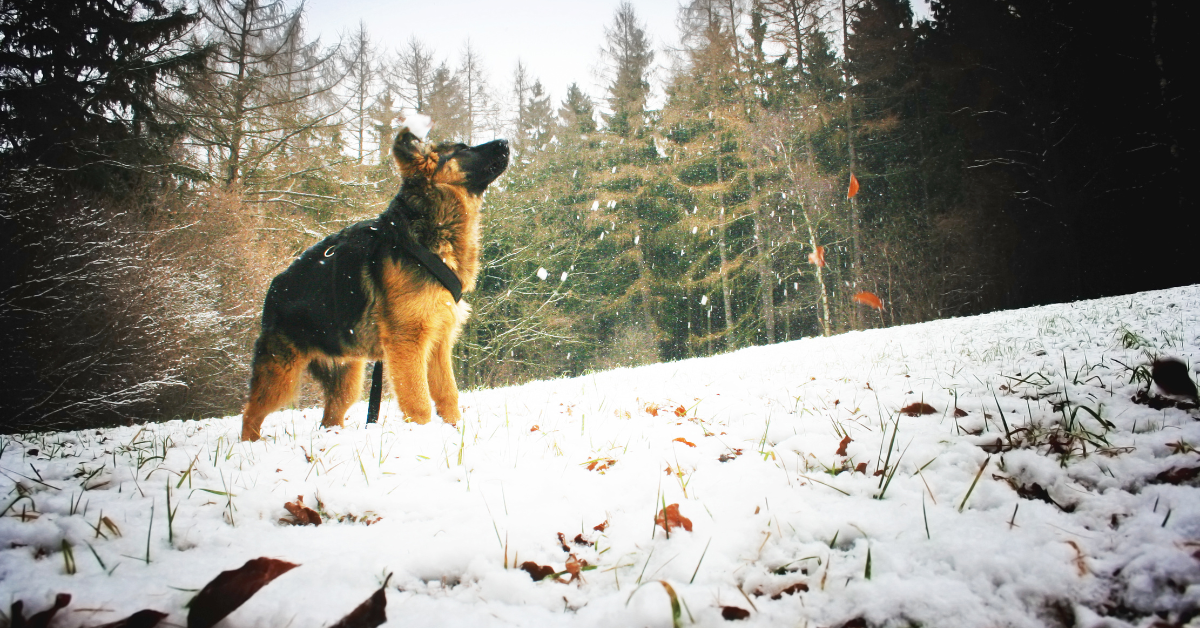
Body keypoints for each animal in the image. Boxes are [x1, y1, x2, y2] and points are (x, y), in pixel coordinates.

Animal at [241, 127, 508, 441]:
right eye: (463, 148)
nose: (505, 142)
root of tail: (273, 290)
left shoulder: (439, 342)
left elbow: (448, 395)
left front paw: (455, 434)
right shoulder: (407, 343)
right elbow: (418, 402)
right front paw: (422, 438)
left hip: (346, 376)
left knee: (330, 417)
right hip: (280, 374)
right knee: (251, 413)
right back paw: (251, 444)